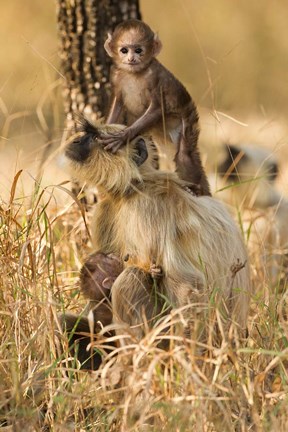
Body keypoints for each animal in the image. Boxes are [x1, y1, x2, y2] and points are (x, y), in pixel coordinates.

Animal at [99, 19, 209, 196]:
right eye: (124, 50)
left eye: (138, 50)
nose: (131, 58)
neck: (134, 73)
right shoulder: (115, 75)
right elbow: (117, 103)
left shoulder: (154, 77)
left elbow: (158, 108)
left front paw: (122, 137)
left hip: (188, 121)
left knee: (184, 155)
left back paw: (196, 189)